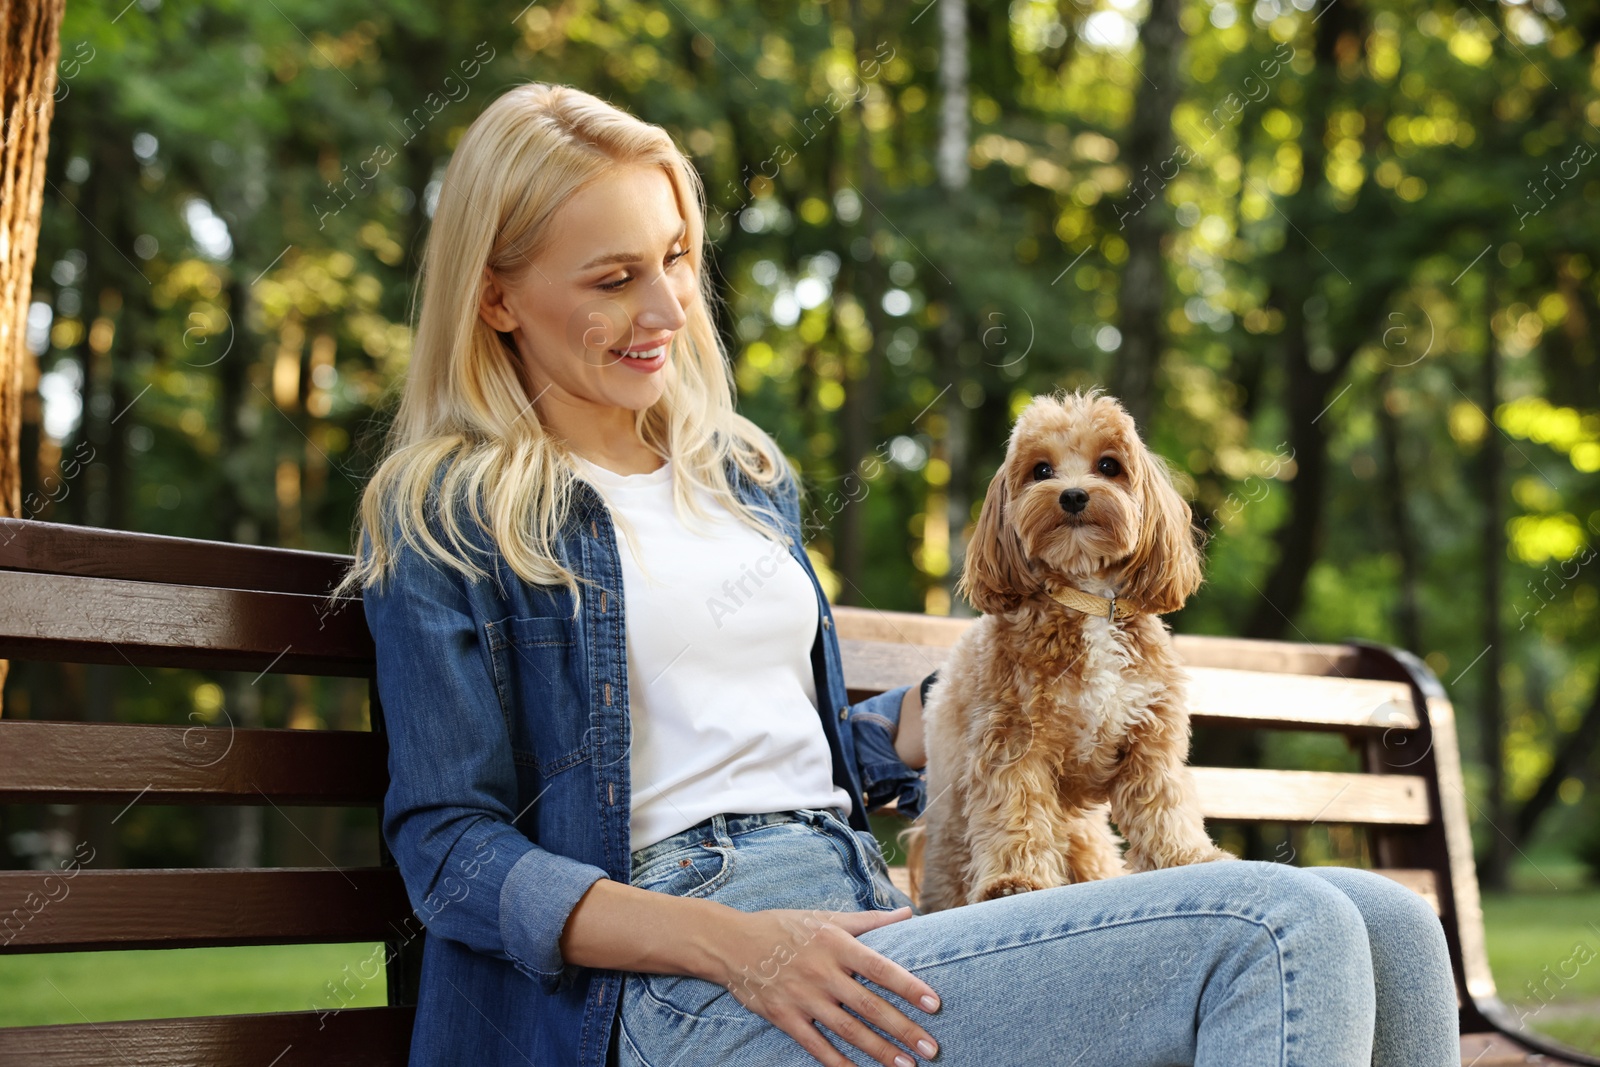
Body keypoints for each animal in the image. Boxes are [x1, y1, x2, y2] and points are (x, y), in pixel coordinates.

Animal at [908, 388, 1228, 915]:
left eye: (1109, 465)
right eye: (1041, 470)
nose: (1074, 495)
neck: (1089, 598)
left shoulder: (1150, 739)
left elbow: (1162, 802)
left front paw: (1187, 857)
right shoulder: (1012, 744)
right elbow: (1015, 814)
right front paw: (1014, 881)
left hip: (1086, 837)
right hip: (955, 841)